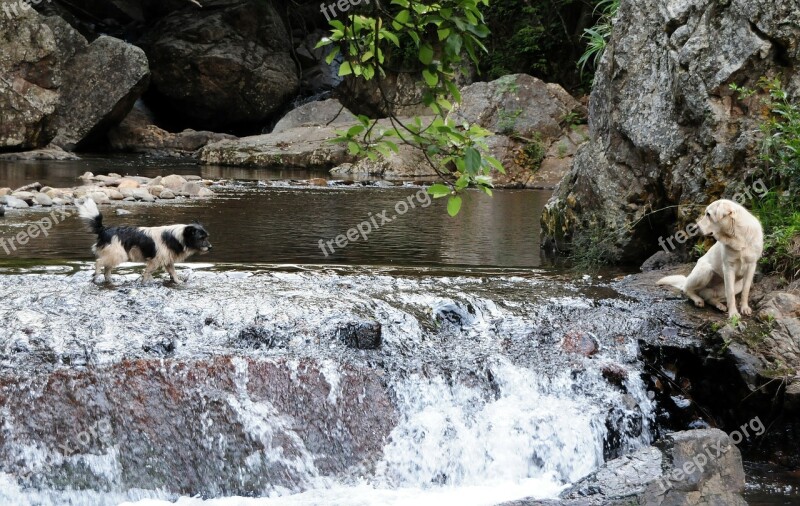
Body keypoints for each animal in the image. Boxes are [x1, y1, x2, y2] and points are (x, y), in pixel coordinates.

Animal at [75, 199, 211, 284]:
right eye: (201, 238)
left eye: (206, 236)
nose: (210, 247)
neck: (175, 237)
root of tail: (104, 229)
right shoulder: (154, 261)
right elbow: (147, 273)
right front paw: (145, 283)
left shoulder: (167, 260)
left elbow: (173, 272)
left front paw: (178, 282)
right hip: (118, 254)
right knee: (99, 262)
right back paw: (95, 275)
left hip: (114, 255)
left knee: (107, 270)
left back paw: (109, 281)